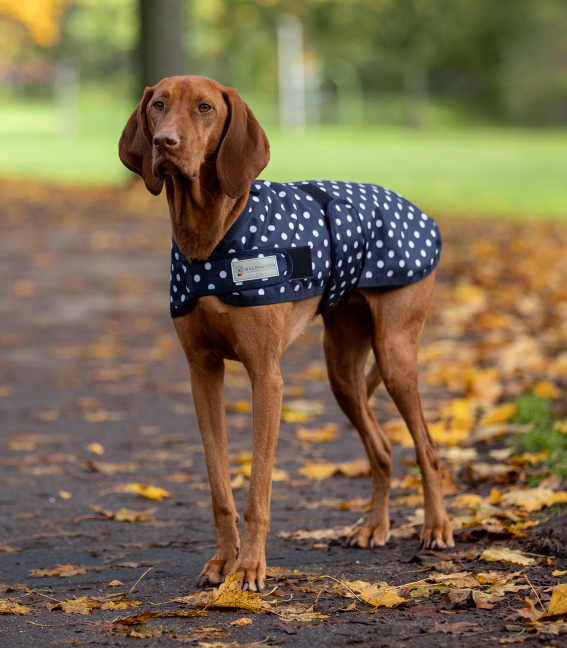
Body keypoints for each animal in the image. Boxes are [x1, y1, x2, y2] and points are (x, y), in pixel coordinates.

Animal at [120, 74, 458, 592]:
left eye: (204, 108)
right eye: (158, 105)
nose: (165, 143)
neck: (212, 235)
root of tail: (417, 209)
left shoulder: (267, 377)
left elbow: (258, 488)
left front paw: (249, 569)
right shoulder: (202, 374)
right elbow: (220, 485)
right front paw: (223, 562)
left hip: (395, 354)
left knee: (428, 447)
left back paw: (436, 528)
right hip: (341, 369)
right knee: (381, 448)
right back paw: (374, 528)